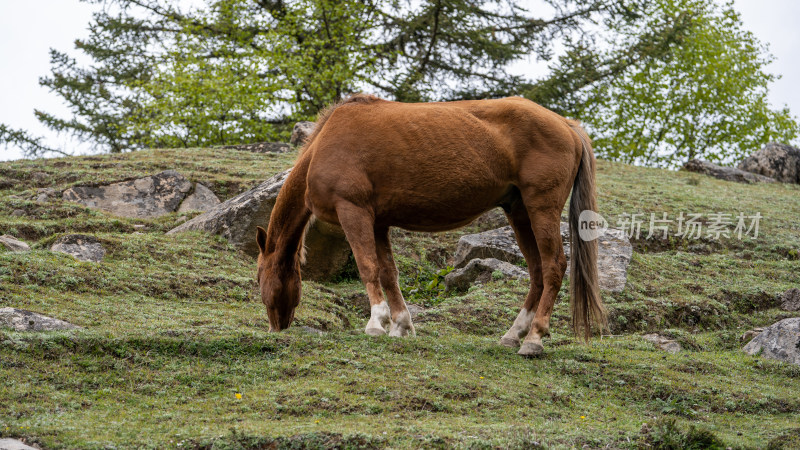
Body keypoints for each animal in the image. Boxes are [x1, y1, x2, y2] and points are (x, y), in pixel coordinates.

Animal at [256, 94, 608, 356]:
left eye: (259, 275)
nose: (275, 328)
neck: (325, 145)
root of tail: (567, 125)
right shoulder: (378, 222)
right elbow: (388, 273)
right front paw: (401, 325)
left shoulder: (353, 211)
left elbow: (368, 267)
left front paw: (376, 323)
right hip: (519, 213)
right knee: (536, 272)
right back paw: (514, 334)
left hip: (541, 208)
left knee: (553, 266)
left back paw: (534, 338)